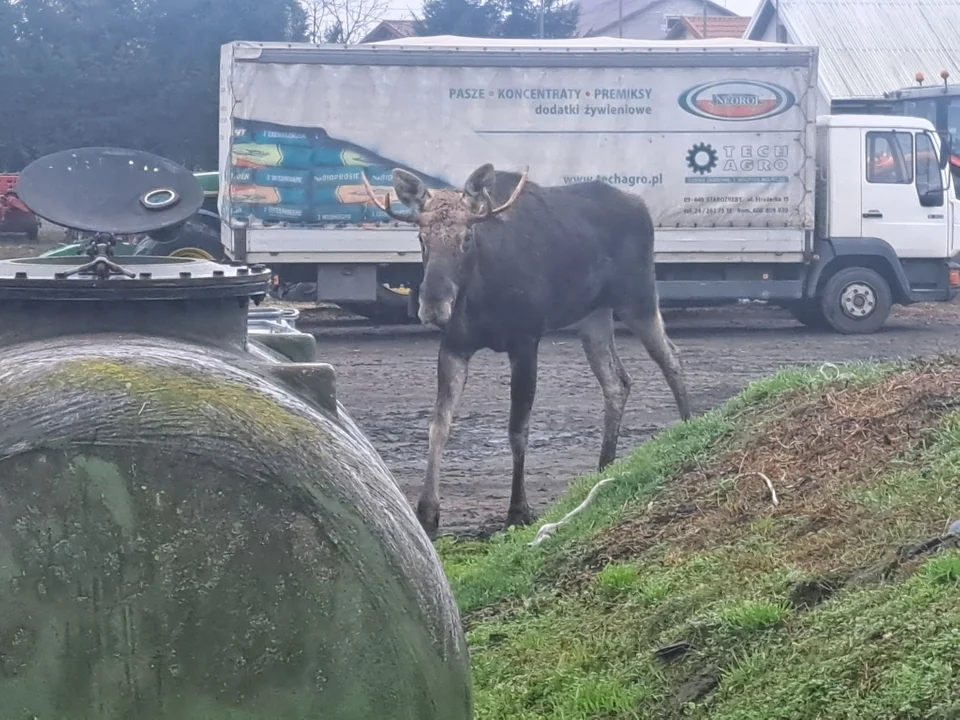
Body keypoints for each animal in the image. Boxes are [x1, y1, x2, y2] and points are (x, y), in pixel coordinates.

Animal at [360, 162, 688, 536]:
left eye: (466, 238)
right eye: (421, 238)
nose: (432, 306)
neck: (482, 293)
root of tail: (641, 207)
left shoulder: (526, 341)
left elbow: (518, 430)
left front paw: (518, 510)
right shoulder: (454, 345)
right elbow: (438, 425)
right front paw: (428, 513)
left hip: (638, 297)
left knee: (671, 357)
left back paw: (689, 425)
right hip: (593, 315)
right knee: (617, 381)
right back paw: (604, 466)